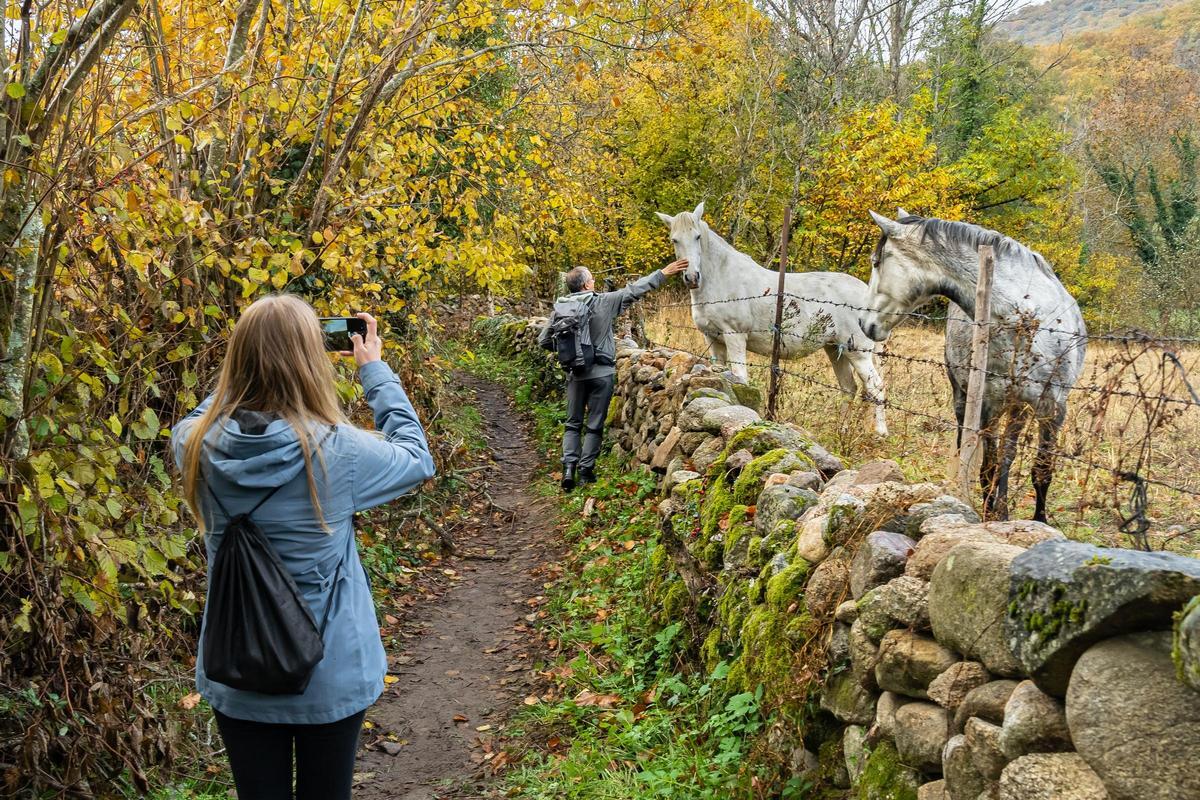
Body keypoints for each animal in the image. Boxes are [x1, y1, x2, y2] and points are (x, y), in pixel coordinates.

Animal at [657, 203, 892, 434]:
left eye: (697, 236)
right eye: (674, 239)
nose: (692, 278)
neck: (721, 278)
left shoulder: (735, 336)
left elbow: (740, 377)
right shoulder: (713, 339)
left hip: (858, 352)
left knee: (876, 387)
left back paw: (880, 433)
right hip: (834, 348)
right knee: (848, 388)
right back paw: (841, 432)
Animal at [859, 209, 1084, 522]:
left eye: (876, 262)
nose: (863, 323)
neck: (1026, 320)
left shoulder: (1052, 408)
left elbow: (1041, 470)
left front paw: (1037, 521)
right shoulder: (989, 404)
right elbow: (988, 468)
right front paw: (990, 516)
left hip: (1018, 406)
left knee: (1009, 455)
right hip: (966, 397)